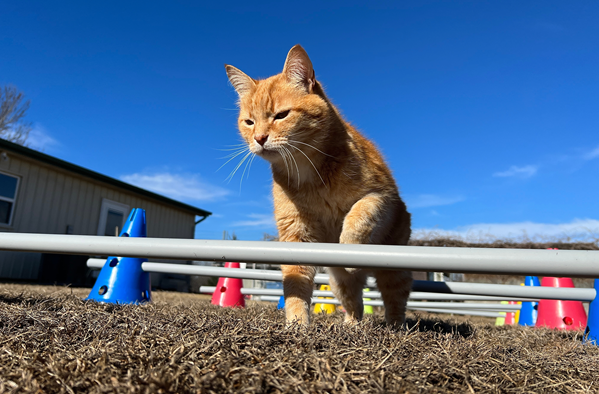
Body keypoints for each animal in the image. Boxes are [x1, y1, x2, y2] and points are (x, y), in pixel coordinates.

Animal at [225, 44, 412, 326]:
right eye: (249, 122)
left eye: (281, 115)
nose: (259, 138)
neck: (310, 174)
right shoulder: (295, 232)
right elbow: (295, 283)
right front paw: (296, 323)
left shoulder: (382, 196)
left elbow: (359, 214)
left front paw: (349, 245)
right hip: (338, 282)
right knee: (355, 302)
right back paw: (351, 325)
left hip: (394, 269)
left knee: (395, 299)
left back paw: (395, 325)